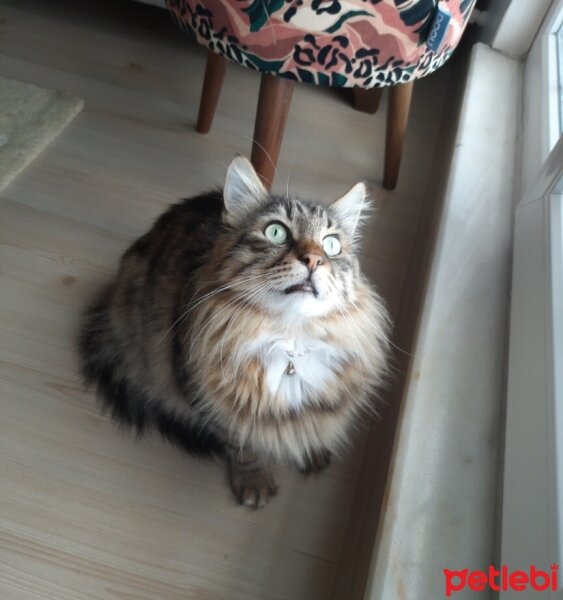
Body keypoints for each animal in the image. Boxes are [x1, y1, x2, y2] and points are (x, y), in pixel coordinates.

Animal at [80, 156, 392, 506]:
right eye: (276, 232)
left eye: (331, 244)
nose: (314, 259)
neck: (290, 341)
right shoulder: (213, 403)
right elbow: (244, 446)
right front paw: (254, 481)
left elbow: (311, 426)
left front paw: (311, 450)